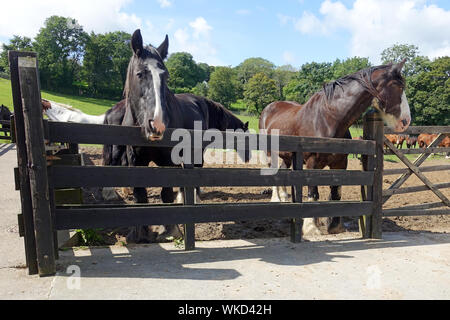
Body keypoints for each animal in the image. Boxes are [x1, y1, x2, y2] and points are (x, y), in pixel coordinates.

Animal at [103, 30, 248, 241]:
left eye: (166, 77)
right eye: (140, 74)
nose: (157, 124)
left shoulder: (170, 160)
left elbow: (167, 192)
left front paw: (170, 230)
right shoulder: (136, 160)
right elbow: (140, 194)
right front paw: (140, 233)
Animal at [260, 60, 412, 235]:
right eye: (397, 85)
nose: (406, 121)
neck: (327, 119)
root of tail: (269, 108)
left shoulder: (339, 163)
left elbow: (336, 191)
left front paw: (334, 226)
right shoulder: (312, 163)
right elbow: (313, 193)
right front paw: (311, 227)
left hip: (287, 155)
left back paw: (285, 198)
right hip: (270, 153)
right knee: (273, 172)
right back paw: (276, 199)